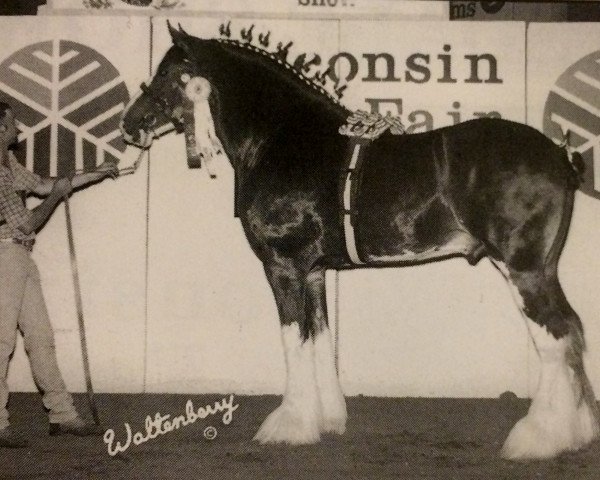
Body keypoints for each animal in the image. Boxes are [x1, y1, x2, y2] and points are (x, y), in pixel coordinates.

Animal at [120, 23, 600, 462]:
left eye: (169, 74)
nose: (130, 124)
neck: (281, 139)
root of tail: (560, 155)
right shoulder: (314, 272)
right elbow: (318, 339)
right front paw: (325, 419)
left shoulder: (283, 266)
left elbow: (292, 340)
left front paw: (288, 426)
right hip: (543, 268)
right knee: (572, 330)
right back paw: (576, 432)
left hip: (523, 268)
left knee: (554, 337)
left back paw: (537, 439)